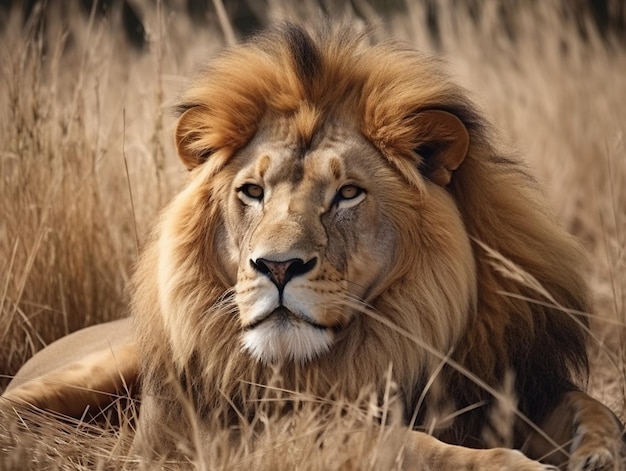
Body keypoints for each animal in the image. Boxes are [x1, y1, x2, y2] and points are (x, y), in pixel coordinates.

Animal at [2, 23, 620, 471]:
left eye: (347, 193)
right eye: (252, 191)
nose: (278, 267)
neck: (397, 336)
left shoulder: (514, 380)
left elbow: (595, 411)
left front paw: (596, 455)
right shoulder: (254, 431)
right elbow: (402, 444)